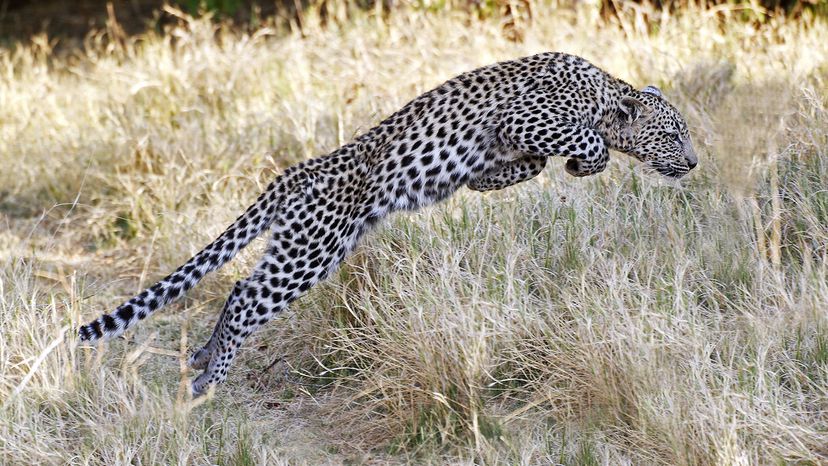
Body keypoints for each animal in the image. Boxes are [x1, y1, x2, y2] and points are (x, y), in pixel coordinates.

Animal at [78, 52, 698, 396]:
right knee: (248, 296)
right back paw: (211, 378)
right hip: (311, 251)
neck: (606, 92)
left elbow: (528, 165)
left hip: (303, 247)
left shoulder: (517, 138)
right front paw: (582, 162)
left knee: (237, 288)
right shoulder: (526, 118)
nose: (693, 162)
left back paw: (205, 358)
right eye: (672, 135)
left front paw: (495, 181)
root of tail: (297, 172)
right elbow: (590, 145)